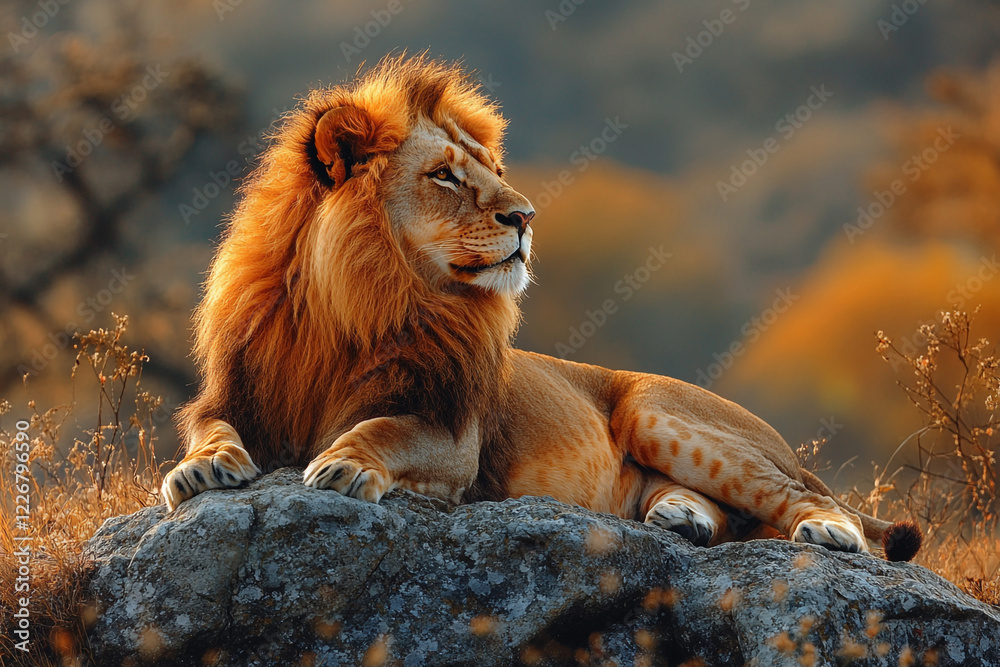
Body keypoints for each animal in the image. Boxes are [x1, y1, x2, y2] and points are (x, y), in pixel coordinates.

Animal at [162, 55, 921, 562]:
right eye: (444, 174)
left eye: (492, 169)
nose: (526, 216)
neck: (356, 307)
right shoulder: (233, 394)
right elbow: (208, 429)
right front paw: (199, 468)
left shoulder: (453, 433)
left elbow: (386, 429)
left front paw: (345, 464)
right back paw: (682, 517)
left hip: (662, 412)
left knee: (799, 496)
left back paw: (828, 529)